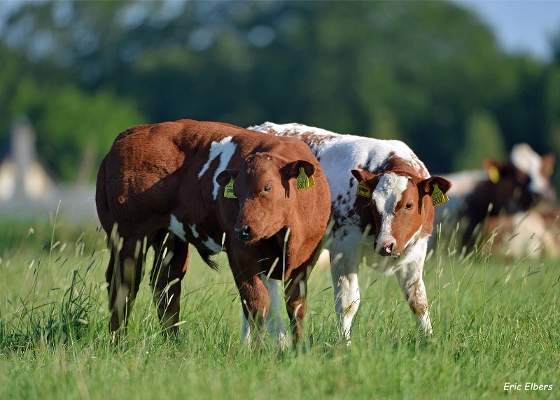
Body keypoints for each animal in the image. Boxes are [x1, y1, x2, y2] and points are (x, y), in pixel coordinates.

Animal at [94, 118, 330, 344]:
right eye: (235, 192)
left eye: (267, 187)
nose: (242, 229)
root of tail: (131, 132)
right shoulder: (240, 254)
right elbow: (257, 303)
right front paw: (258, 350)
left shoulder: (306, 259)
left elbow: (296, 306)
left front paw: (299, 349)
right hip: (129, 236)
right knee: (123, 286)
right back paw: (118, 343)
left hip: (171, 237)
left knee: (166, 286)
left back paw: (172, 344)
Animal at [249, 122, 450, 340]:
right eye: (373, 204)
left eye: (409, 205)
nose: (386, 245)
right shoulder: (344, 248)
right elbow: (347, 304)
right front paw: (344, 343)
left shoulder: (416, 251)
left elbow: (418, 300)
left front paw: (429, 339)